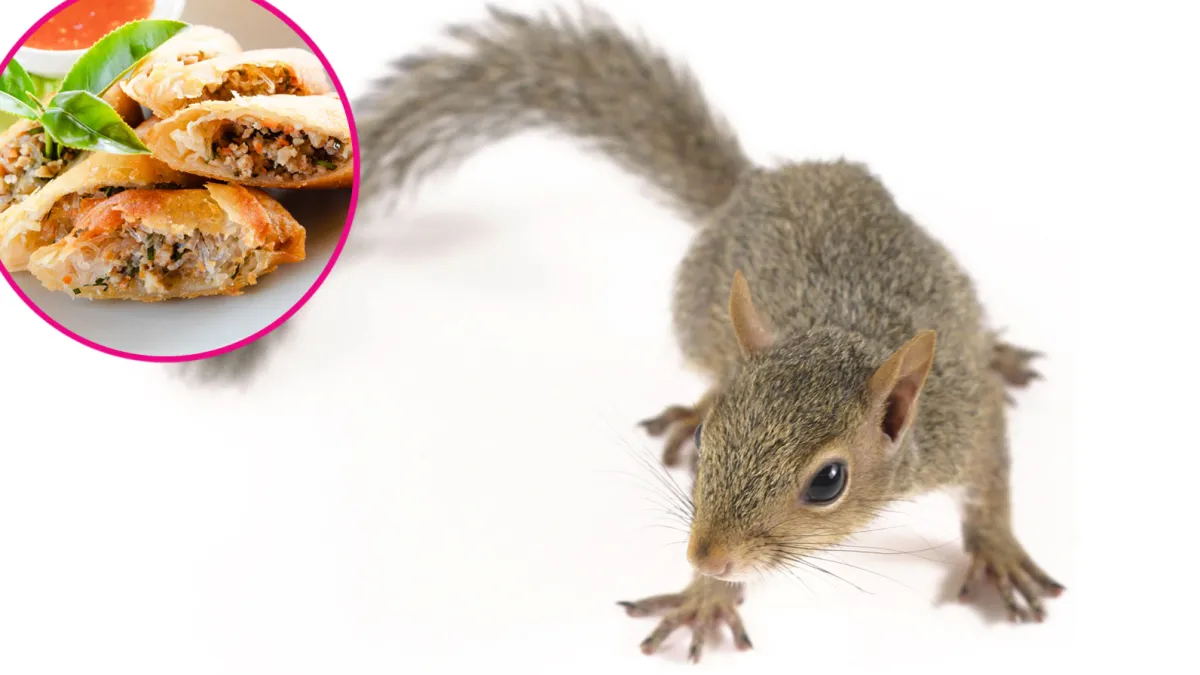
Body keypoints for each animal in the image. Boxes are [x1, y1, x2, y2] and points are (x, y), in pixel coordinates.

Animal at [355, 3, 1064, 663]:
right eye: (707, 441)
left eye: (828, 482)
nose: (707, 557)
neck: (840, 335)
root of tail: (758, 183)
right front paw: (705, 597)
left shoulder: (958, 421)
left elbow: (991, 476)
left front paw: (999, 551)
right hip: (698, 316)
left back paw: (997, 350)